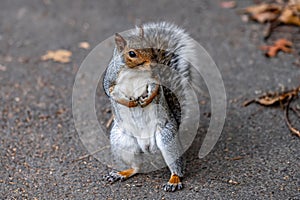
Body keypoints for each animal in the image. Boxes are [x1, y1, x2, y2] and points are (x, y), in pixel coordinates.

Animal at [102, 21, 198, 192]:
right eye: (132, 53)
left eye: (151, 48)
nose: (153, 62)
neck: (135, 71)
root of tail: (147, 147)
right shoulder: (110, 80)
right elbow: (111, 92)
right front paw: (130, 103)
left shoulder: (153, 79)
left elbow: (154, 89)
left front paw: (145, 101)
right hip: (122, 141)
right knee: (136, 167)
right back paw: (121, 173)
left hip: (167, 138)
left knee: (177, 165)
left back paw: (174, 180)